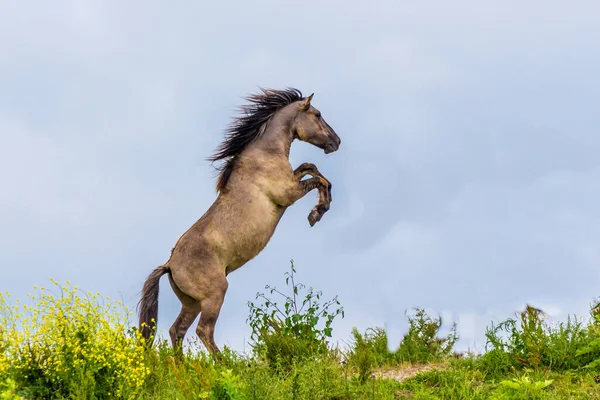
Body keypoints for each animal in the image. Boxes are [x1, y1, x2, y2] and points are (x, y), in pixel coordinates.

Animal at [138, 86, 340, 356]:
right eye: (317, 114)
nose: (336, 142)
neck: (263, 155)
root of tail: (169, 264)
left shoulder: (292, 180)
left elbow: (311, 167)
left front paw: (319, 208)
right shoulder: (288, 193)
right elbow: (318, 179)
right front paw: (317, 213)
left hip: (192, 302)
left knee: (176, 330)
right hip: (214, 295)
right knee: (203, 330)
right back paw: (225, 363)